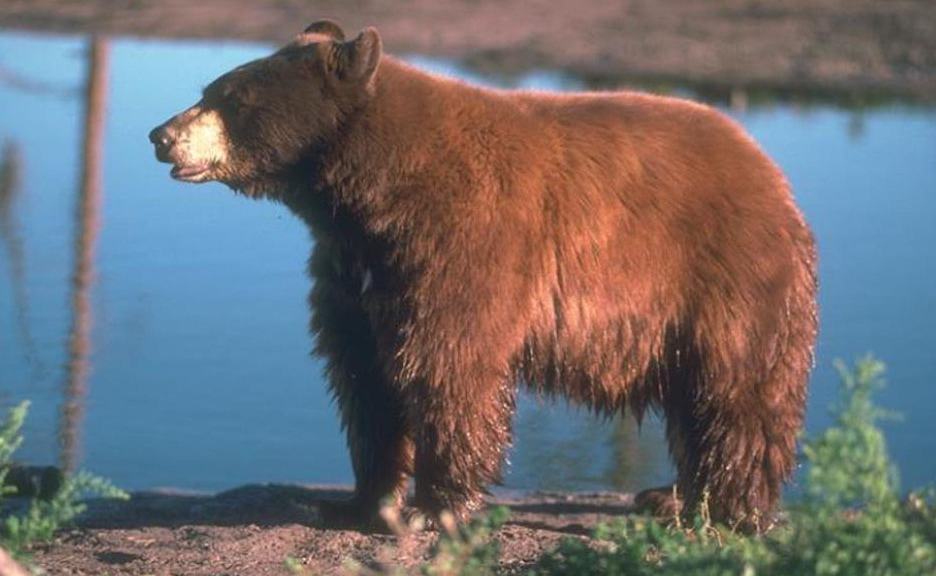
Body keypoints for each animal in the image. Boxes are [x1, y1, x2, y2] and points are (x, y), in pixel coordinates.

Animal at [149, 20, 818, 530]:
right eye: (210, 87)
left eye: (232, 98)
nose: (161, 135)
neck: (372, 189)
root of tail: (770, 172)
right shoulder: (356, 269)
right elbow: (363, 374)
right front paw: (362, 499)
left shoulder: (461, 239)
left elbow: (450, 363)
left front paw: (433, 506)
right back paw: (672, 494)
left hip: (722, 277)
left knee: (736, 393)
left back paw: (726, 507)